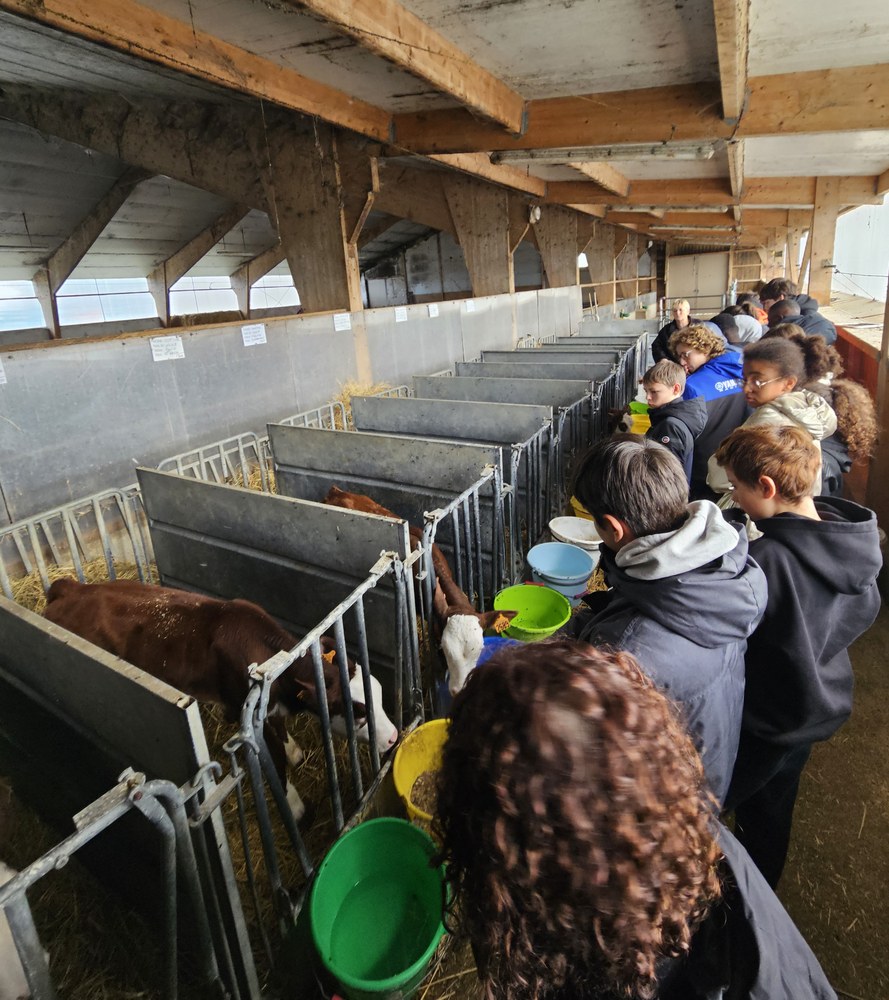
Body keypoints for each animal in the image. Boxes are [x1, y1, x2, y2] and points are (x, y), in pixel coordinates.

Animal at [43, 579, 398, 820]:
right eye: (356, 709)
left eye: (380, 693)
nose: (394, 737)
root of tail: (68, 588)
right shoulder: (249, 715)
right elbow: (275, 765)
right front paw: (295, 808)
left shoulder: (270, 704)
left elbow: (281, 730)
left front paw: (294, 751)